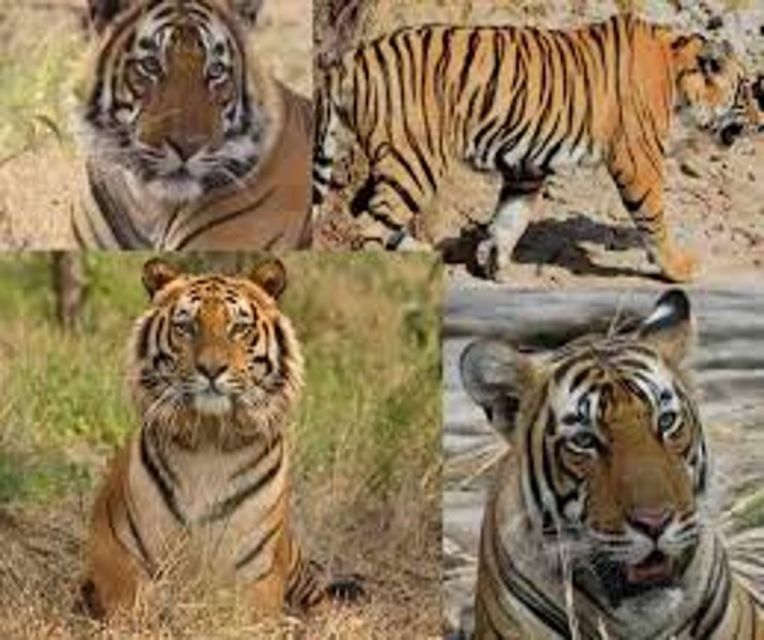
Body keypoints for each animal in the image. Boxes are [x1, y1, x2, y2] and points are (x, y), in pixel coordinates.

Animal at [80, 258, 360, 619]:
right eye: (186, 326)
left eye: (238, 328)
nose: (211, 369)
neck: (208, 443)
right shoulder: (111, 550)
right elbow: (130, 598)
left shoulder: (258, 573)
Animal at [314, 15, 763, 282]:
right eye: (745, 90)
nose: (761, 122)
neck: (677, 79)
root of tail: (353, 56)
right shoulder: (638, 159)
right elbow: (655, 217)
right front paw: (678, 268)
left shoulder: (526, 164)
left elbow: (510, 218)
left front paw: (495, 265)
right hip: (415, 159)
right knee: (370, 223)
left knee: (368, 212)